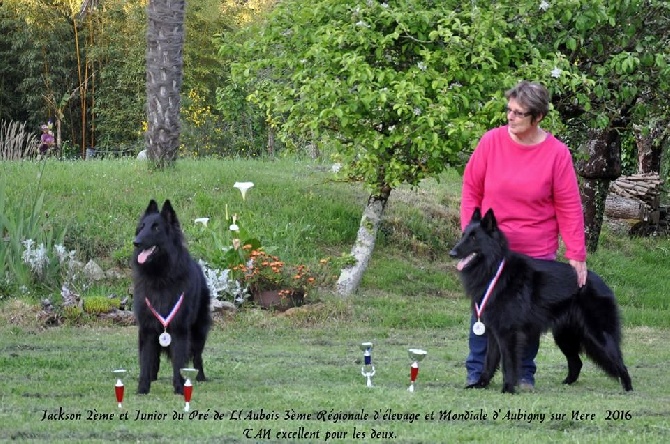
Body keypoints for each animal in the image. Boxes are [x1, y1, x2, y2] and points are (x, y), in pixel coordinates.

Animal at [133, 199, 211, 394]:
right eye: (141, 227)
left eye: (156, 228)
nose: (136, 242)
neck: (160, 277)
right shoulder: (146, 329)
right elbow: (145, 360)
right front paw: (143, 388)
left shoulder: (179, 329)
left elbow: (179, 362)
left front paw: (180, 388)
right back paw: (153, 376)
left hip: (198, 331)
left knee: (197, 356)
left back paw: (200, 376)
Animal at [452, 206, 636, 394]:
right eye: (464, 235)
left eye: (474, 238)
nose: (452, 252)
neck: (495, 268)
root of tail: (604, 284)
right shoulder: (493, 332)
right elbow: (489, 362)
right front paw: (481, 384)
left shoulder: (508, 333)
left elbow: (508, 364)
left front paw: (508, 388)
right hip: (564, 336)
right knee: (577, 362)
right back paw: (567, 383)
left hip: (598, 336)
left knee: (620, 363)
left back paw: (628, 389)